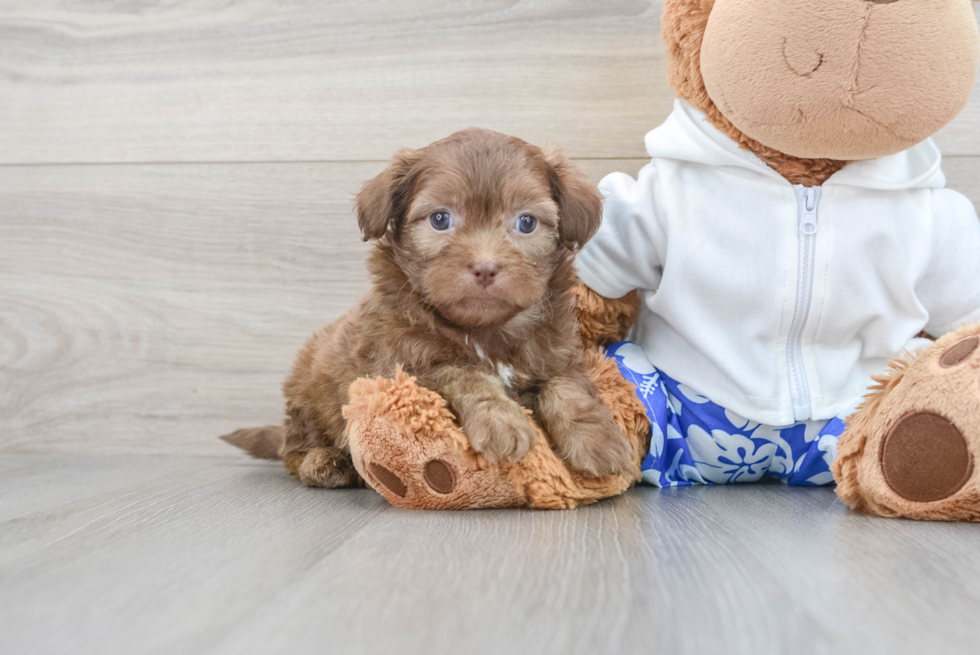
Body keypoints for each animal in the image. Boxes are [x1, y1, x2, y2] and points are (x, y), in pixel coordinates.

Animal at [225, 128, 632, 486]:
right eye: (440, 219)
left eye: (527, 222)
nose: (485, 267)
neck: (485, 330)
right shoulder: (404, 368)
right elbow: (464, 373)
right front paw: (502, 421)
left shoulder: (559, 352)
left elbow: (567, 386)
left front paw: (598, 440)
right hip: (309, 389)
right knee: (292, 450)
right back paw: (324, 463)